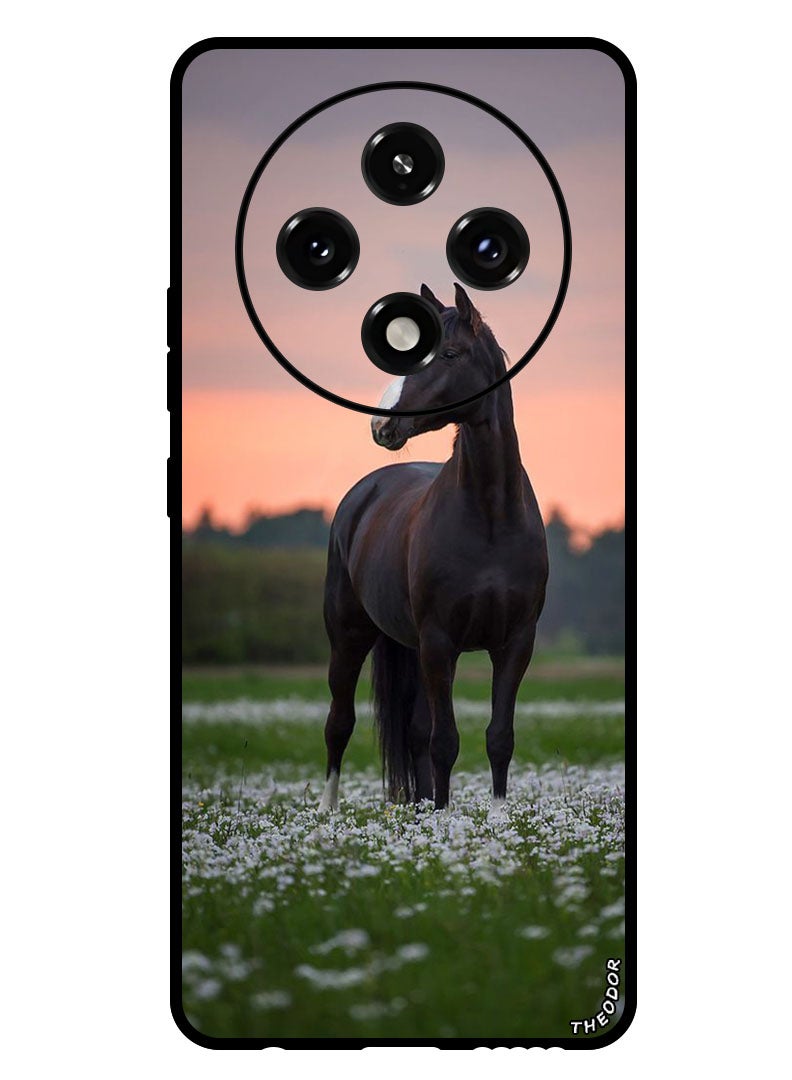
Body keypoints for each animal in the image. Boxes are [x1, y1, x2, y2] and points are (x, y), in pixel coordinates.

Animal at [319, 283, 548, 814]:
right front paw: (446, 820)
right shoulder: (441, 642)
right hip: (349, 637)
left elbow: (498, 737)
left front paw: (497, 818)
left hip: (411, 645)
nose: (382, 426)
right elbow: (446, 740)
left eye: (449, 353)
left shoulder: (516, 643)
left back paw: (422, 807)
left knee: (415, 729)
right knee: (340, 722)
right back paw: (327, 811)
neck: (490, 518)